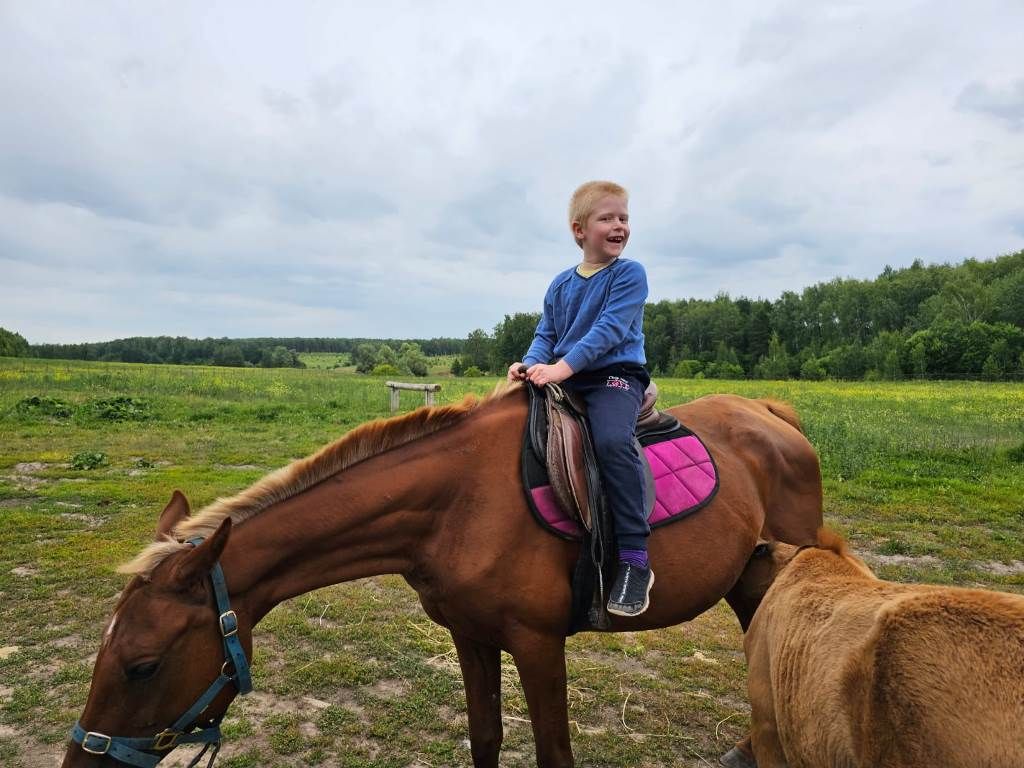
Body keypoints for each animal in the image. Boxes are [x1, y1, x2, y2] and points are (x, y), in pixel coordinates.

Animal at [64, 387, 819, 765]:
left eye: (141, 665)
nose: (82, 762)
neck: (458, 503)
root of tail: (771, 413)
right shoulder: (469, 633)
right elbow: (485, 735)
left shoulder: (538, 644)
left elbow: (554, 752)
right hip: (745, 579)